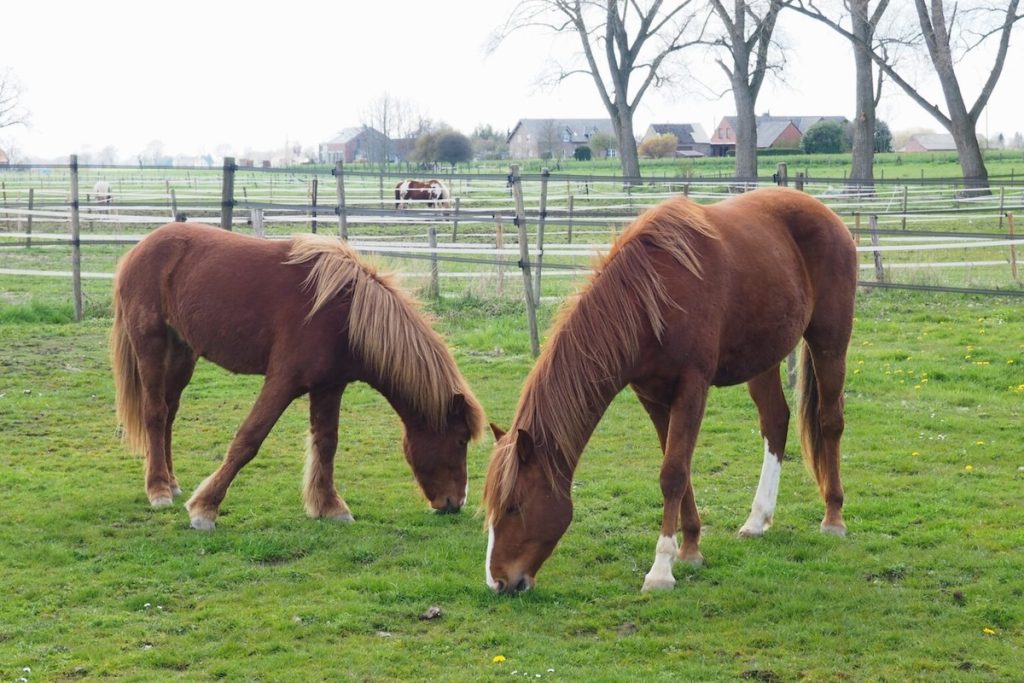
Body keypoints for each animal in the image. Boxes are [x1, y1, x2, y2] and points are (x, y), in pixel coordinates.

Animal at [111, 222, 486, 530]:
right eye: (460, 440)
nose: (455, 504)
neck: (345, 315)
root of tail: (138, 249)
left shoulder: (329, 386)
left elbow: (327, 442)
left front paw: (330, 506)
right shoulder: (282, 382)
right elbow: (248, 440)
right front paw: (205, 509)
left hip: (182, 355)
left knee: (170, 413)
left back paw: (171, 483)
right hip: (151, 347)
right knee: (155, 413)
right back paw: (158, 489)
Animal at [483, 186, 857, 593]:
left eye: (514, 506)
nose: (498, 581)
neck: (651, 300)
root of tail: (826, 213)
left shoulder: (691, 387)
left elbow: (673, 473)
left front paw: (661, 569)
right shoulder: (652, 395)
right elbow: (678, 467)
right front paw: (690, 548)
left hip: (829, 342)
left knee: (831, 421)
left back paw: (833, 517)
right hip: (763, 359)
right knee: (775, 422)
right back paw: (757, 520)